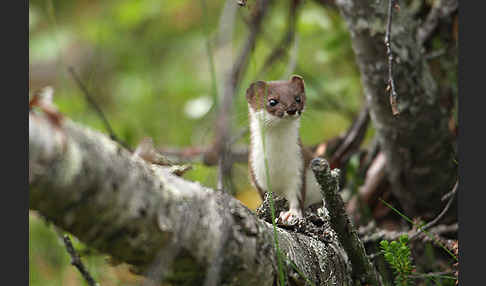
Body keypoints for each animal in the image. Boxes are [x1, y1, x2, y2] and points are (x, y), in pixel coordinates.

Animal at [247, 75, 322, 222]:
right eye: (272, 101)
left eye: (298, 98)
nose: (291, 109)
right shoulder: (256, 171)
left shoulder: (298, 166)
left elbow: (297, 196)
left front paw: (291, 214)